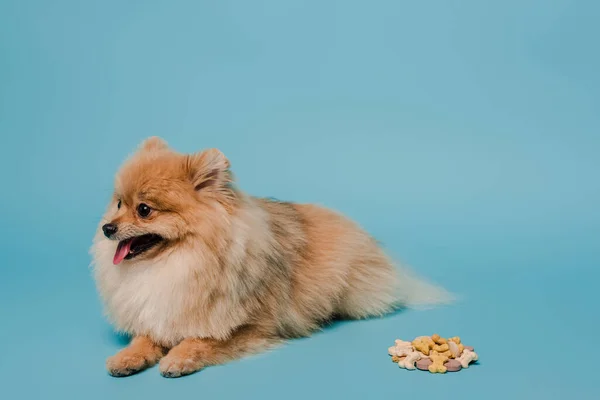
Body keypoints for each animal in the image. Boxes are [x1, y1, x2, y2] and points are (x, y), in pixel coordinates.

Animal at [92, 138, 450, 378]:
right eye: (119, 203)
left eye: (144, 210)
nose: (107, 228)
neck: (176, 262)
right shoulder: (158, 313)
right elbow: (145, 337)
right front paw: (127, 357)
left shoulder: (252, 326)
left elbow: (202, 340)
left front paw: (178, 358)